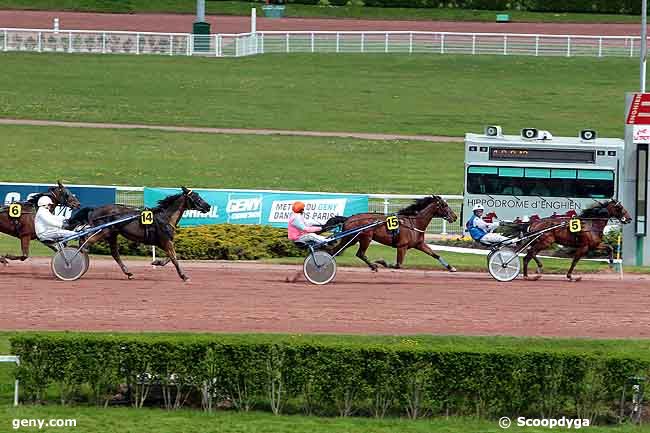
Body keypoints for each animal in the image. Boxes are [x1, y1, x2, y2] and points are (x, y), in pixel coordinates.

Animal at [70, 186, 210, 280]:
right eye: (196, 197)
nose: (208, 206)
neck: (165, 217)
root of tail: (95, 209)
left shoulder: (164, 242)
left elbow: (172, 257)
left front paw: (156, 262)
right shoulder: (165, 241)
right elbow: (174, 258)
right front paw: (184, 276)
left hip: (112, 234)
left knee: (114, 253)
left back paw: (128, 273)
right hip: (104, 230)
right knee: (85, 240)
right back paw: (77, 256)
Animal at [322, 195, 458, 270]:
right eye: (444, 205)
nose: (455, 217)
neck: (414, 223)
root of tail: (348, 218)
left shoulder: (419, 244)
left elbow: (435, 255)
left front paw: (451, 267)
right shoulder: (402, 246)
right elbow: (398, 265)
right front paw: (381, 262)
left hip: (351, 239)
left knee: (335, 251)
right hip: (365, 238)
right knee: (359, 253)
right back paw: (374, 266)